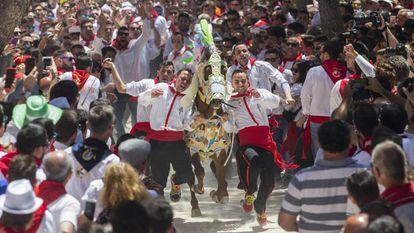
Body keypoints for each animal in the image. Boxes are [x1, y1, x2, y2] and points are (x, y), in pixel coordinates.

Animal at [181, 26, 233, 218]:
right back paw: (195, 206)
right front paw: (201, 189)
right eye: (208, 69)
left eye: (224, 69)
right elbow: (199, 173)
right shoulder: (191, 149)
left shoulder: (221, 148)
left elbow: (220, 170)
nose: (217, 99)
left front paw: (220, 194)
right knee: (191, 176)